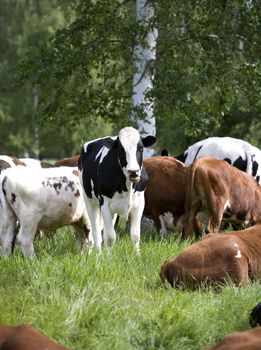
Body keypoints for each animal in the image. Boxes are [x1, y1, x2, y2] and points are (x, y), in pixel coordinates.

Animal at [78, 126, 155, 254]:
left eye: (140, 148)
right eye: (121, 149)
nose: (133, 172)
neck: (127, 186)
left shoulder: (139, 203)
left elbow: (135, 235)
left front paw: (138, 256)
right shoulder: (105, 203)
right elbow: (110, 237)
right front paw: (108, 259)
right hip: (89, 200)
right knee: (96, 231)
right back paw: (98, 255)